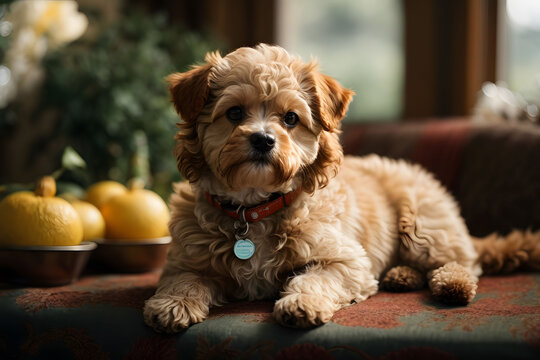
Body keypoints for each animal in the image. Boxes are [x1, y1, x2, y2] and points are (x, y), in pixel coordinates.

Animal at [144, 43, 540, 332]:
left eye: (291, 118)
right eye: (235, 113)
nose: (263, 140)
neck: (253, 207)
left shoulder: (346, 260)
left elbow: (313, 280)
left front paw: (301, 303)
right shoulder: (184, 262)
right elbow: (184, 281)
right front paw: (173, 305)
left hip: (424, 226)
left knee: (462, 263)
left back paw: (450, 283)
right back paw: (400, 276)